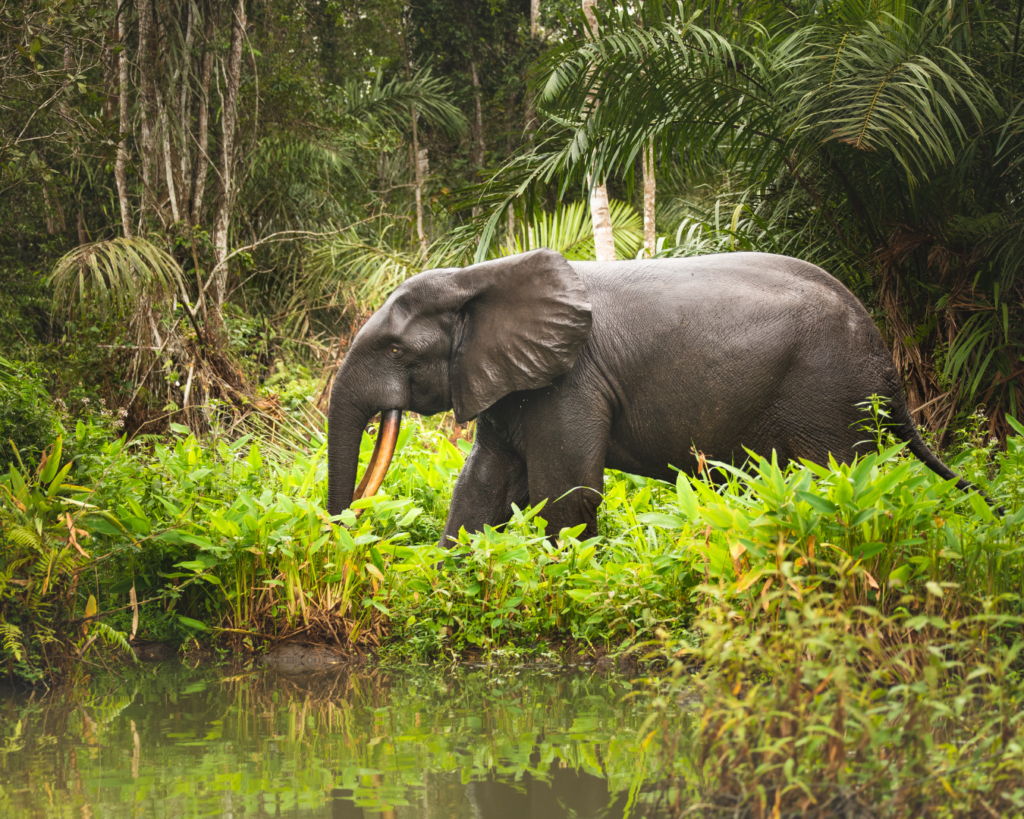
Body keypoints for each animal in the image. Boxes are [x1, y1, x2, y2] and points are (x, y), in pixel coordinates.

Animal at [327, 248, 974, 544]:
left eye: (397, 350)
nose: (340, 530)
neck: (477, 275)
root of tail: (884, 357)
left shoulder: (572, 382)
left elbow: (566, 491)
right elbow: (483, 480)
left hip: (828, 398)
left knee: (836, 476)